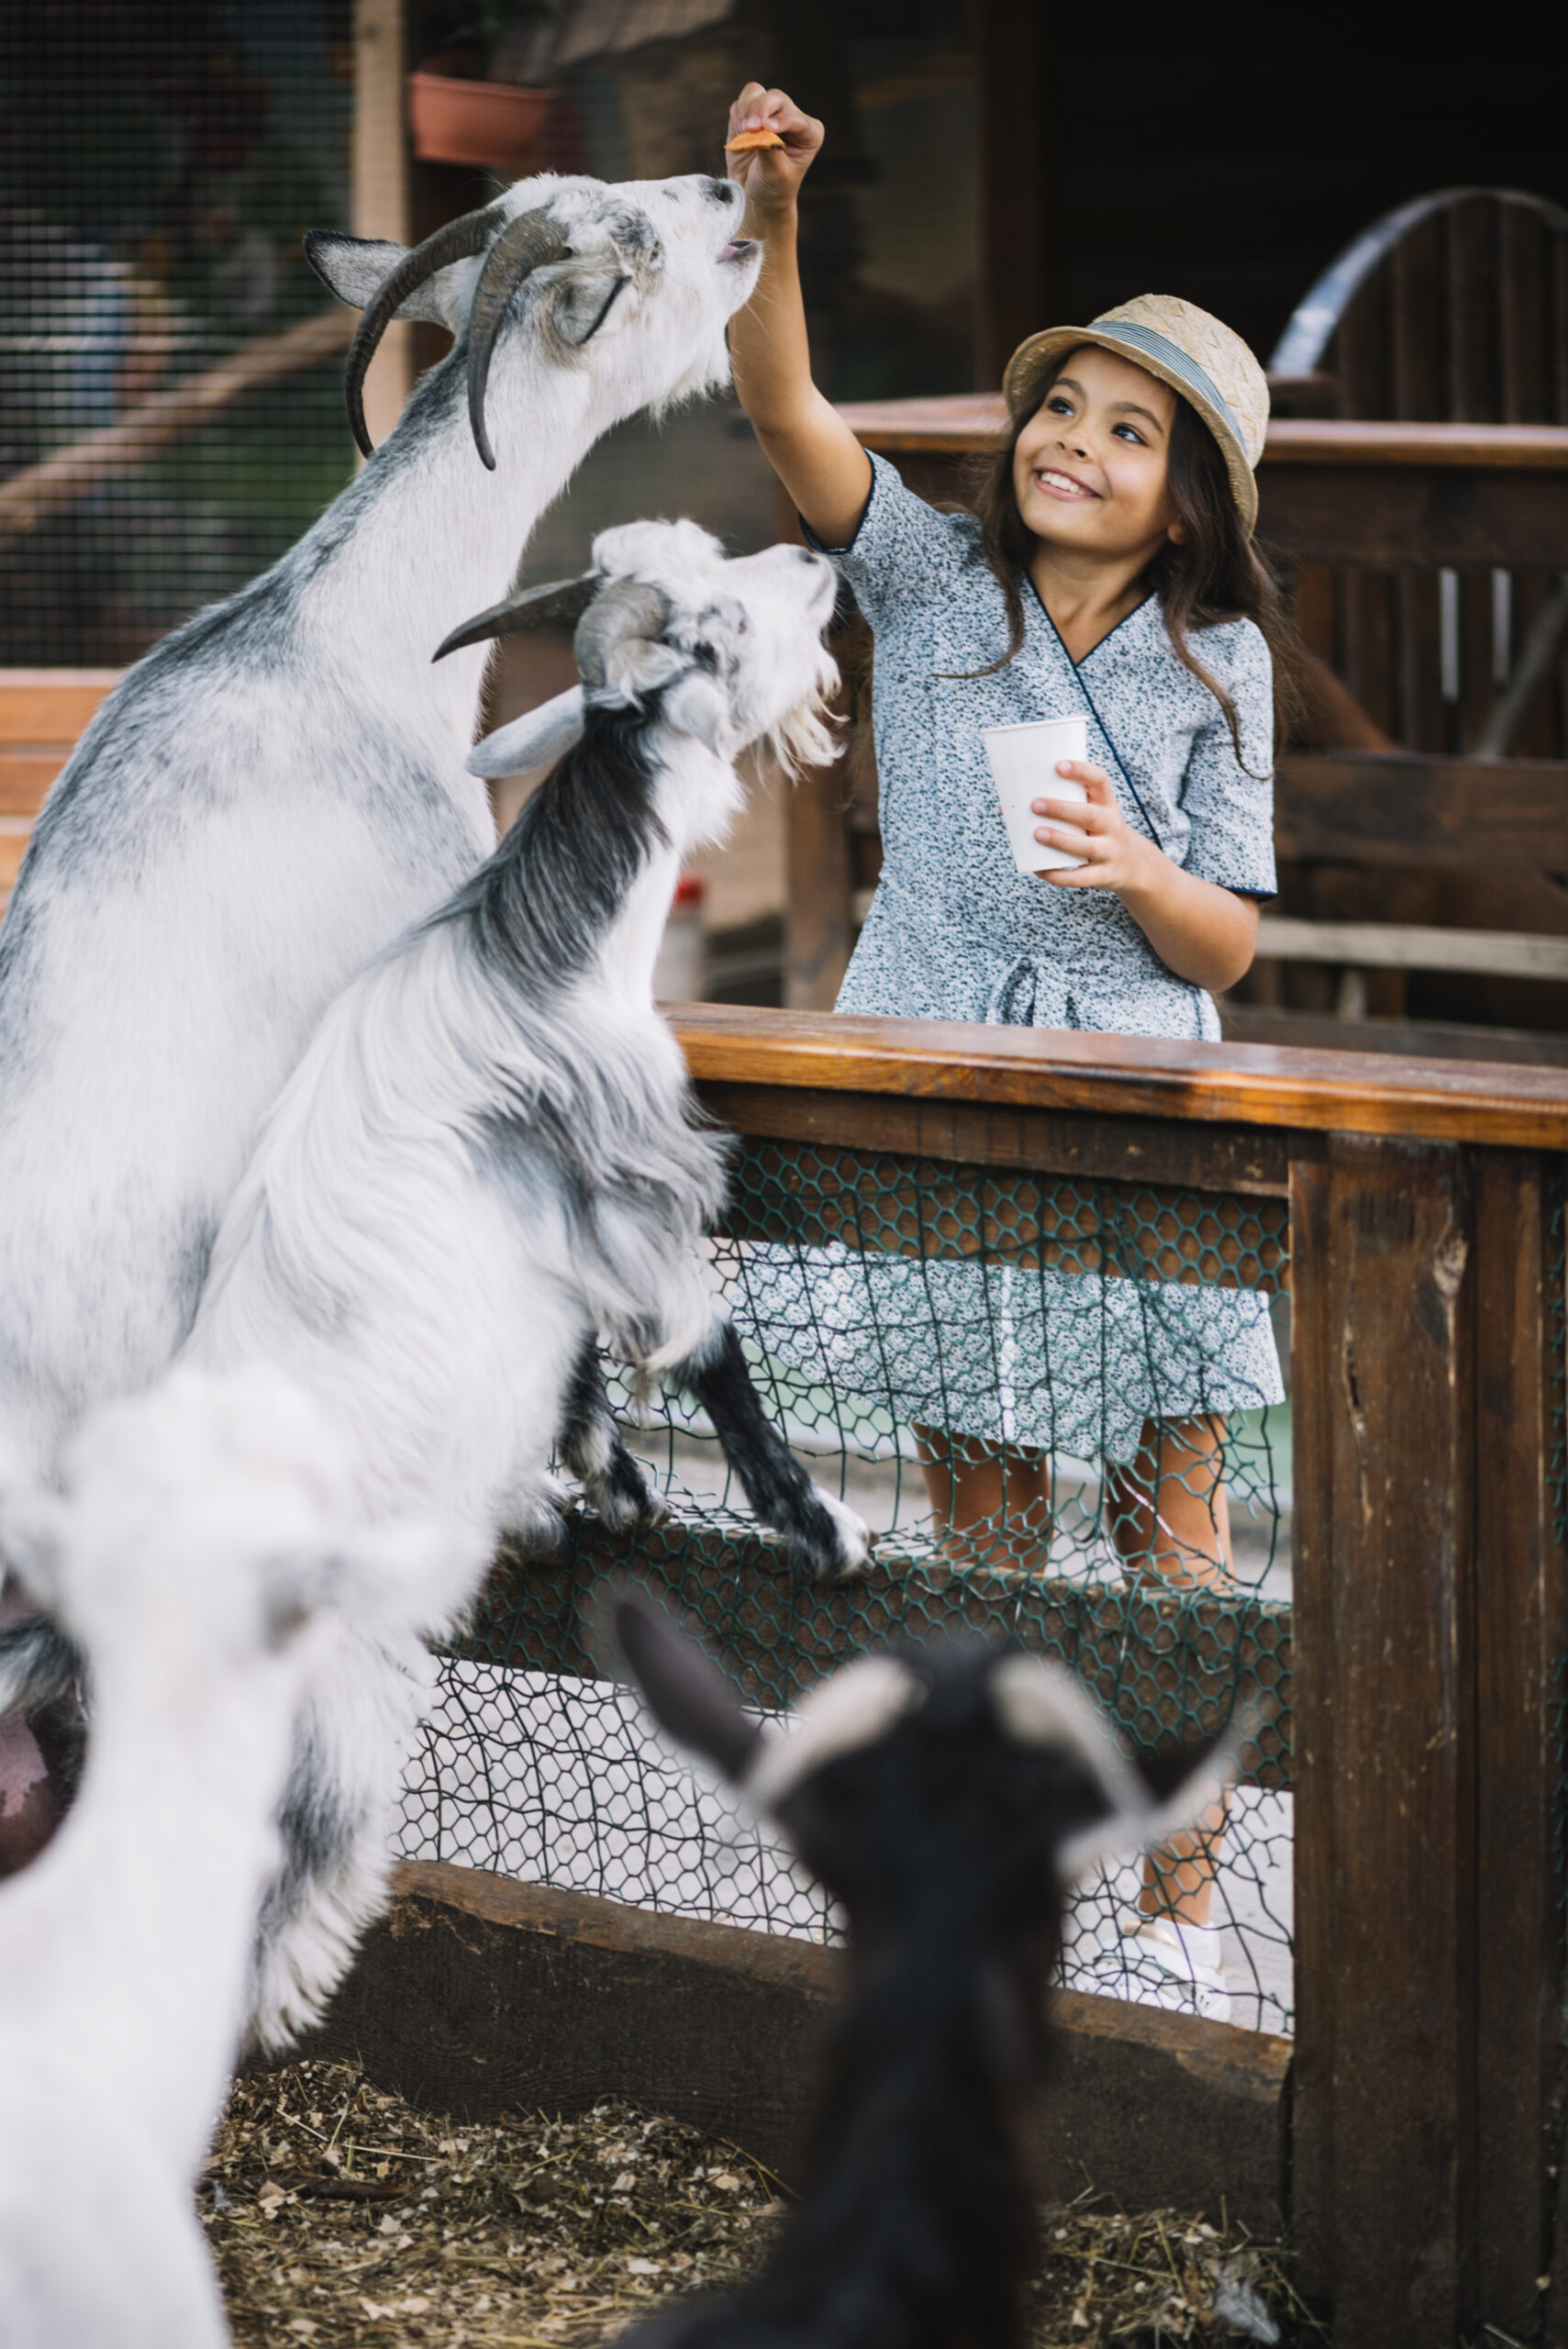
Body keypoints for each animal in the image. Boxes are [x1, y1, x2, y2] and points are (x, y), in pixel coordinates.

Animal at [168, 518, 868, 2049]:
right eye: (719, 625)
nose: (815, 561)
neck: (539, 955)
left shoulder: (545, 1252)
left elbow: (576, 1364)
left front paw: (603, 1488)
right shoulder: (632, 1182)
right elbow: (704, 1345)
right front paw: (817, 1528)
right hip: (335, 1706)